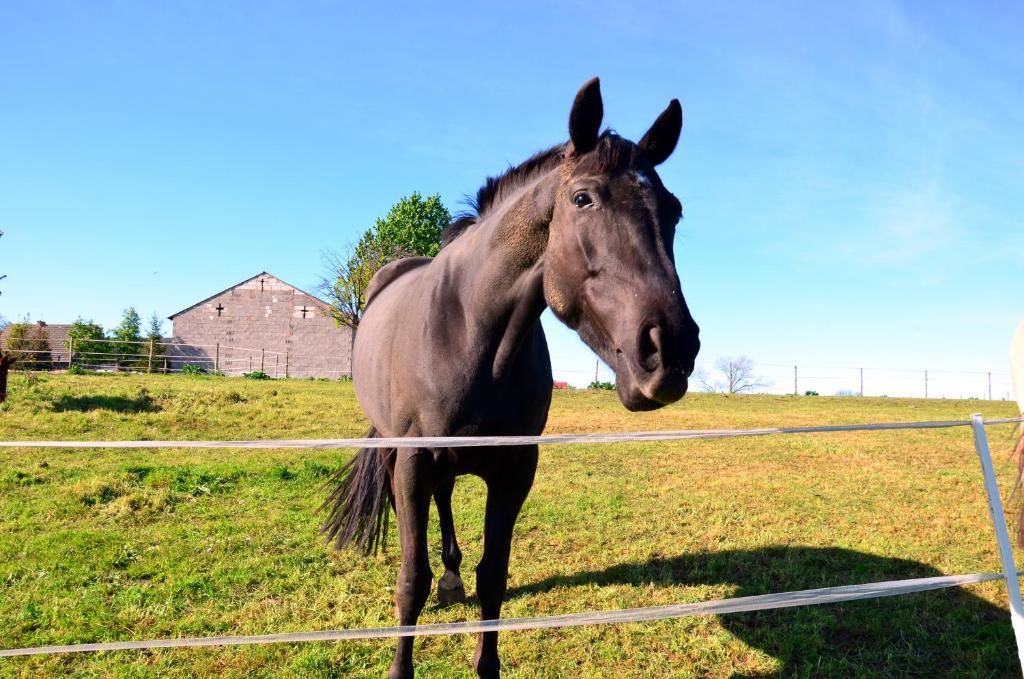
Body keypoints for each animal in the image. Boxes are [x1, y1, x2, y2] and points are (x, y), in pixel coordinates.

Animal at [323, 76, 700, 675]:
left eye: (674, 210)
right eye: (583, 198)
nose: (671, 348)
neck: (470, 330)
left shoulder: (515, 469)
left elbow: (493, 579)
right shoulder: (412, 462)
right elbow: (410, 581)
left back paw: (453, 577)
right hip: (390, 448)